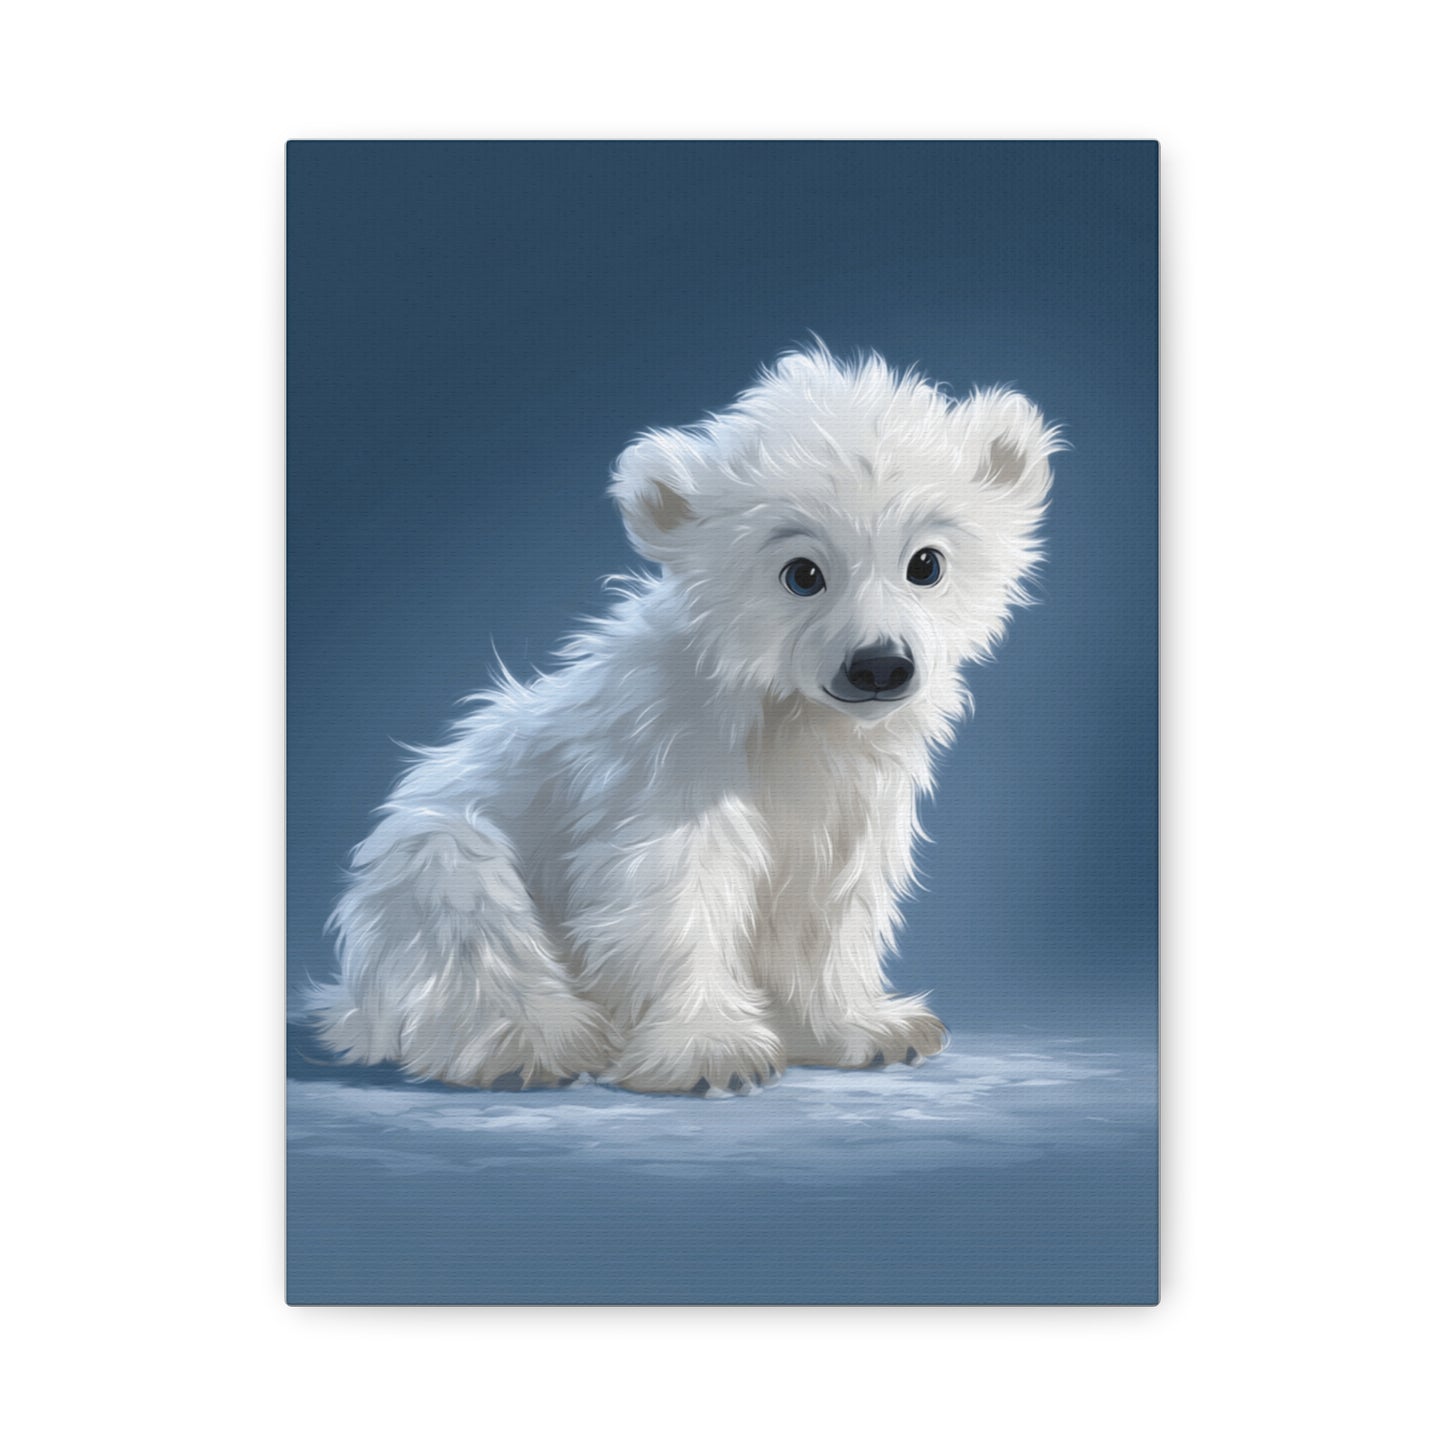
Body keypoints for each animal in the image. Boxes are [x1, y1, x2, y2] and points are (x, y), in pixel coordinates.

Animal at [310, 346, 1060, 1096]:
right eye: (801, 573)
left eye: (925, 563)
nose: (878, 665)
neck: (787, 714)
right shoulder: (669, 756)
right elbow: (677, 885)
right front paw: (712, 1052)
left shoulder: (848, 784)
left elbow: (827, 894)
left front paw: (868, 1028)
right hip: (428, 857)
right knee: (461, 894)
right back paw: (535, 1044)